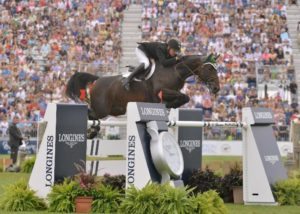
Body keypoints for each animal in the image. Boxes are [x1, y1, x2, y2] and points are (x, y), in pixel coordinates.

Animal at [66, 54, 220, 119]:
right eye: (209, 69)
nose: (217, 88)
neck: (174, 71)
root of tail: (97, 79)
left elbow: (184, 98)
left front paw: (171, 105)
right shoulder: (160, 91)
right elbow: (184, 96)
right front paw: (170, 105)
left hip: (116, 109)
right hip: (102, 110)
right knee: (91, 115)